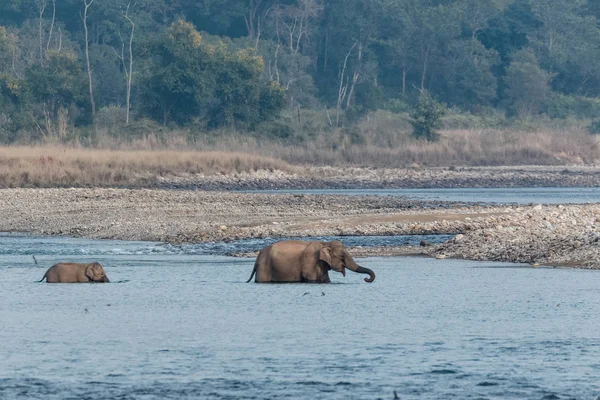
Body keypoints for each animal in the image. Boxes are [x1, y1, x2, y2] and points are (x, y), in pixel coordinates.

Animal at [245, 239, 376, 282]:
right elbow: (310, 277)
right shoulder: (310, 260)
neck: (325, 243)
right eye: (342, 256)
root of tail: (258, 256)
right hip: (264, 267)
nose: (366, 279)